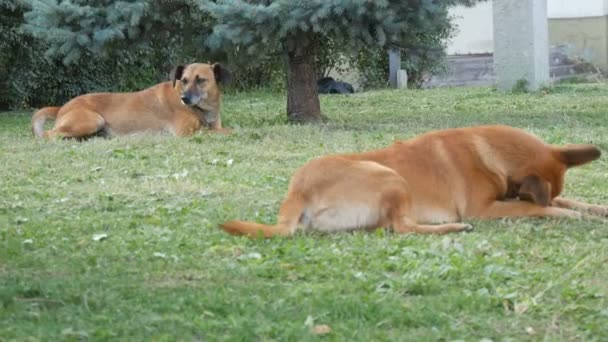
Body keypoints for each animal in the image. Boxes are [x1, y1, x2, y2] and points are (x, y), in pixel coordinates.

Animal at [30, 62, 232, 139]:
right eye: (184, 80)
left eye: (201, 80)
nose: (185, 98)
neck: (202, 109)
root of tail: (62, 107)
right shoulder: (187, 133)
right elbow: (226, 131)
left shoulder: (213, 126)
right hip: (93, 120)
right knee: (48, 135)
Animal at [223, 125, 608, 238]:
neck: (491, 149)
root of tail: (297, 190)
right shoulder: (485, 208)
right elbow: (539, 209)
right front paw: (570, 215)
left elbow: (568, 200)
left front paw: (596, 208)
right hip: (389, 177)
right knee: (401, 227)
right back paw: (454, 227)